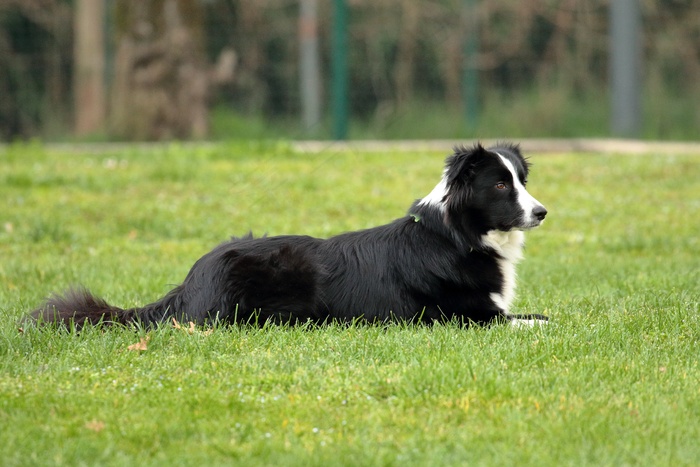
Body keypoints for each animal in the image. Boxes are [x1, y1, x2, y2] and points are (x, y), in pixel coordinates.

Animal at [31, 143, 548, 330]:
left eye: (521, 180)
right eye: (500, 186)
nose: (542, 212)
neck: (457, 236)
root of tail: (191, 280)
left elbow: (542, 315)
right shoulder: (464, 317)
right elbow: (538, 322)